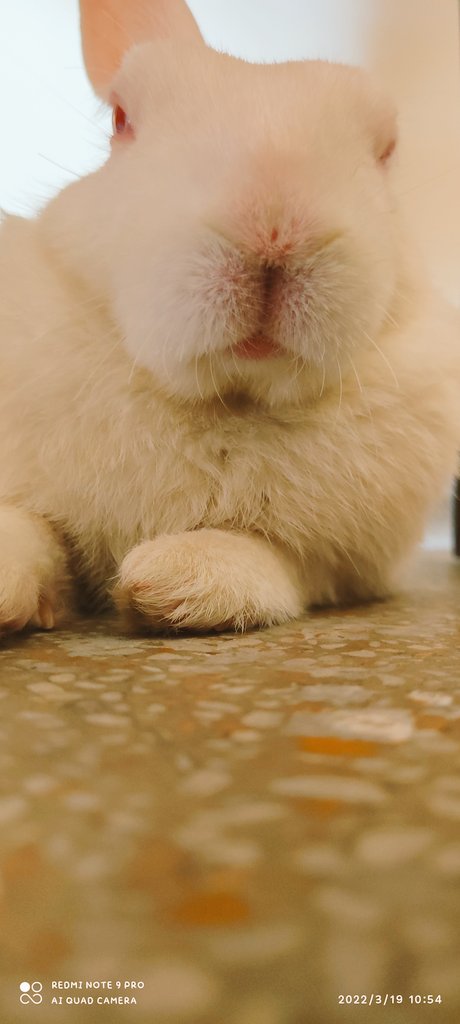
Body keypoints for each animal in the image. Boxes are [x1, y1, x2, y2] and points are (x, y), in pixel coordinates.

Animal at [0, 0, 458, 637]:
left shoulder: (333, 561)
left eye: (385, 149)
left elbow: (267, 557)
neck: (228, 398)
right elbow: (30, 530)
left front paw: (170, 580)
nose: (274, 229)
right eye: (121, 118)